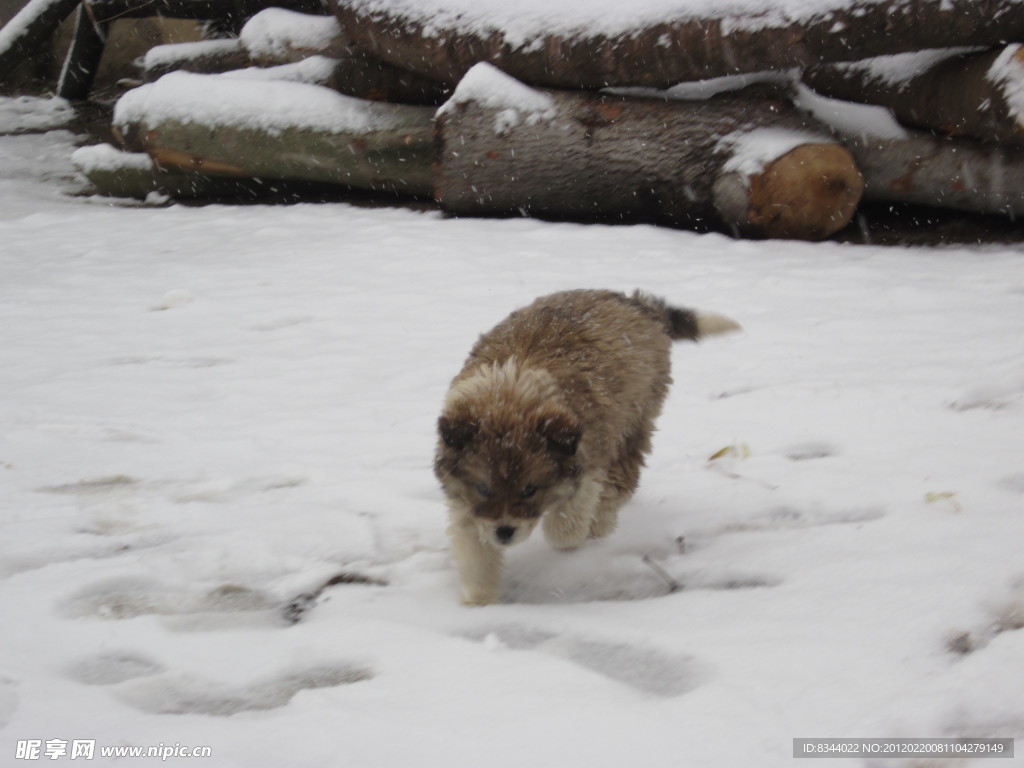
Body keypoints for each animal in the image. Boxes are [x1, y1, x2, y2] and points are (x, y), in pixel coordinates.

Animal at [432, 288, 737, 606]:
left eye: (530, 490)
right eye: (483, 488)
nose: (505, 532)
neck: (510, 401)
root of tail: (636, 303)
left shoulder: (588, 455)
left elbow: (569, 517)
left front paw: (567, 535)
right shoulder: (465, 501)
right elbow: (473, 548)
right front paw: (480, 597)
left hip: (634, 421)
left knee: (619, 483)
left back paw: (599, 525)